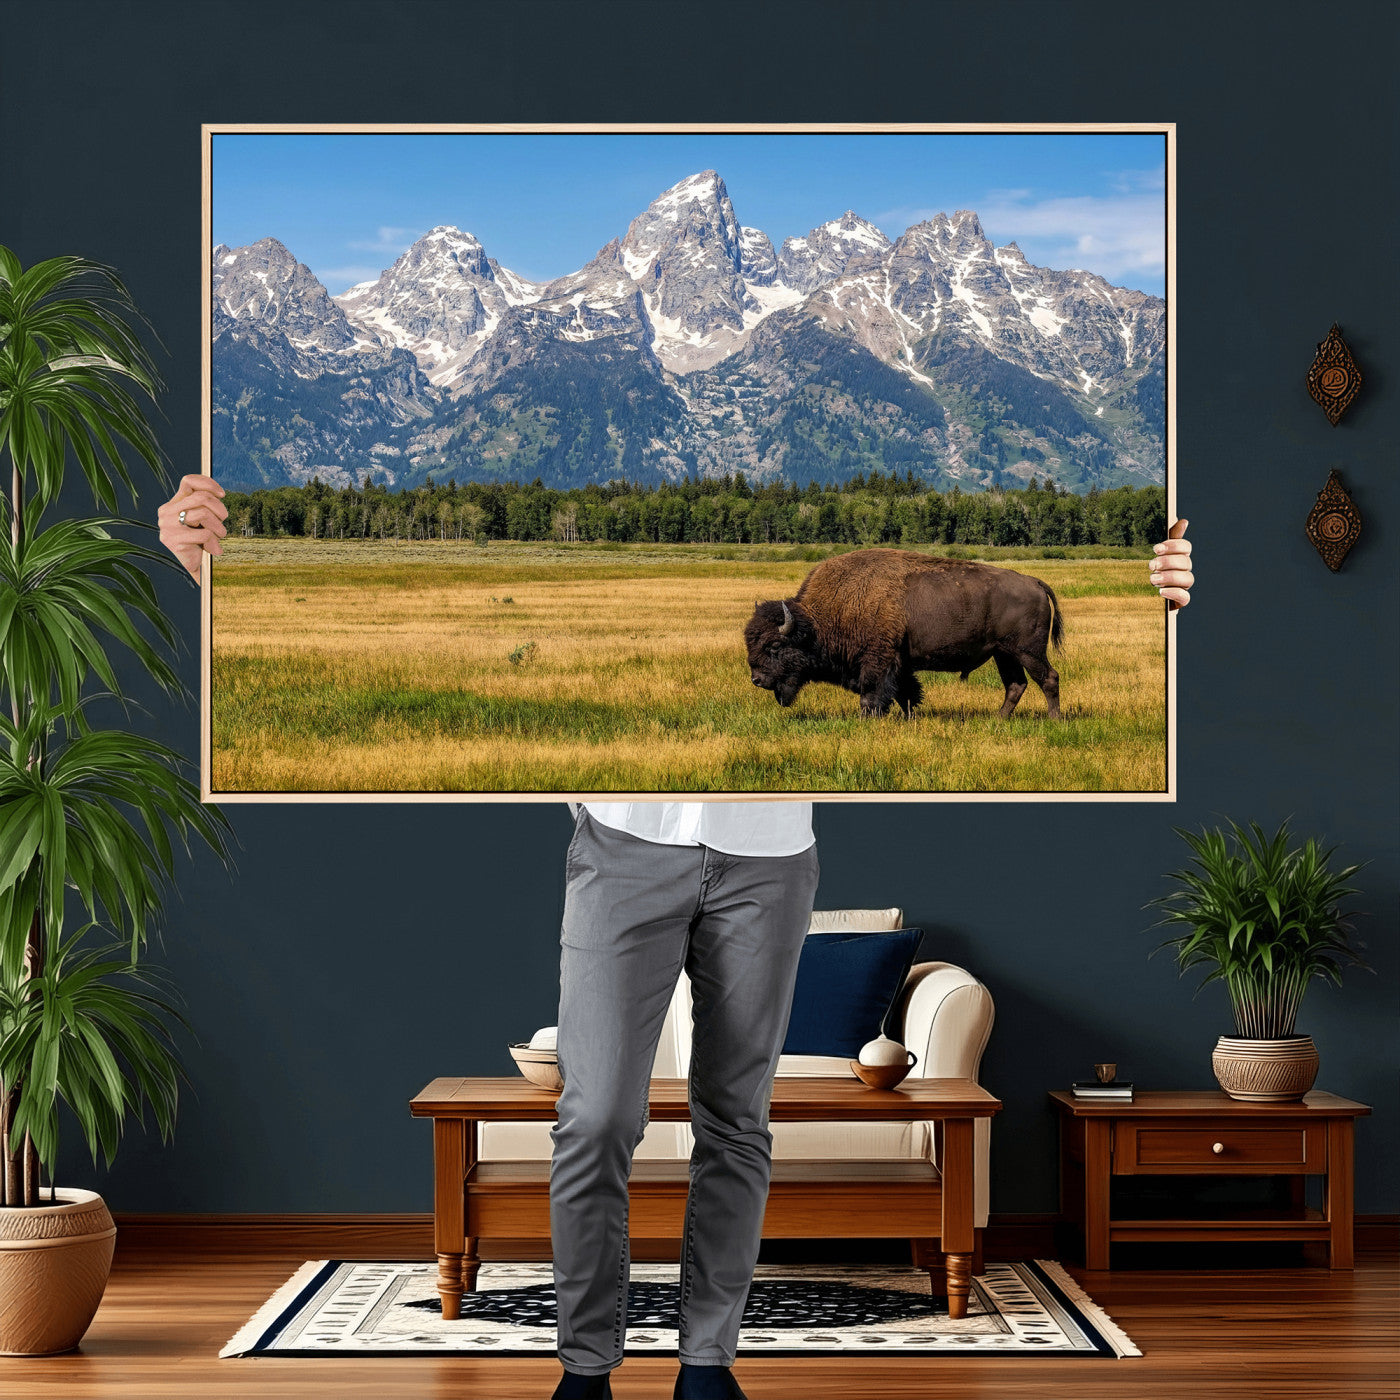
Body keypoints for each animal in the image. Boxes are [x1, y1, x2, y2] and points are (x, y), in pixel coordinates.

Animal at [744, 548, 1064, 720]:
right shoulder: (901, 663)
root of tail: (1034, 582)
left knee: (1048, 678)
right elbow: (906, 693)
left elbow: (873, 694)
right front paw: (909, 717)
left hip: (1028, 651)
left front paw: (867, 719)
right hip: (1003, 654)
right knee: (1016, 685)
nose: (757, 679)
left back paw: (1054, 720)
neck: (818, 620)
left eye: (774, 646)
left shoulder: (878, 660)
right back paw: (998, 719)